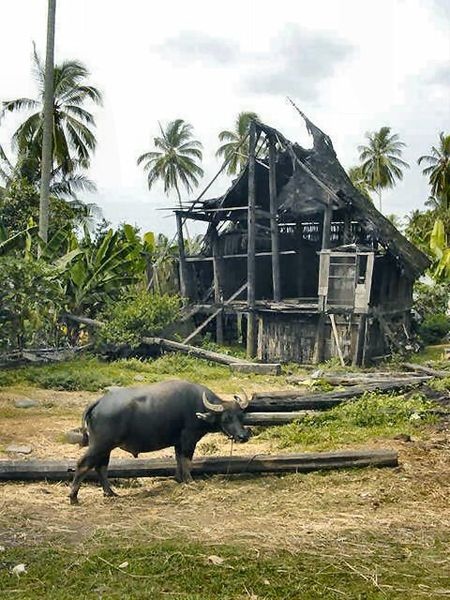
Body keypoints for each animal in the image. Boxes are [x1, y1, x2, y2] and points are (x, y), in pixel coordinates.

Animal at [68, 380, 250, 502]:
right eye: (226, 418)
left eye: (240, 416)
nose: (243, 436)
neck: (199, 407)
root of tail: (99, 402)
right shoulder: (189, 439)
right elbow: (187, 461)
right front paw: (190, 481)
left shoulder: (178, 442)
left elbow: (179, 460)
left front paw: (179, 479)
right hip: (100, 444)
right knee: (83, 464)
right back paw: (73, 497)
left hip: (106, 447)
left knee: (101, 466)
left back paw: (110, 493)